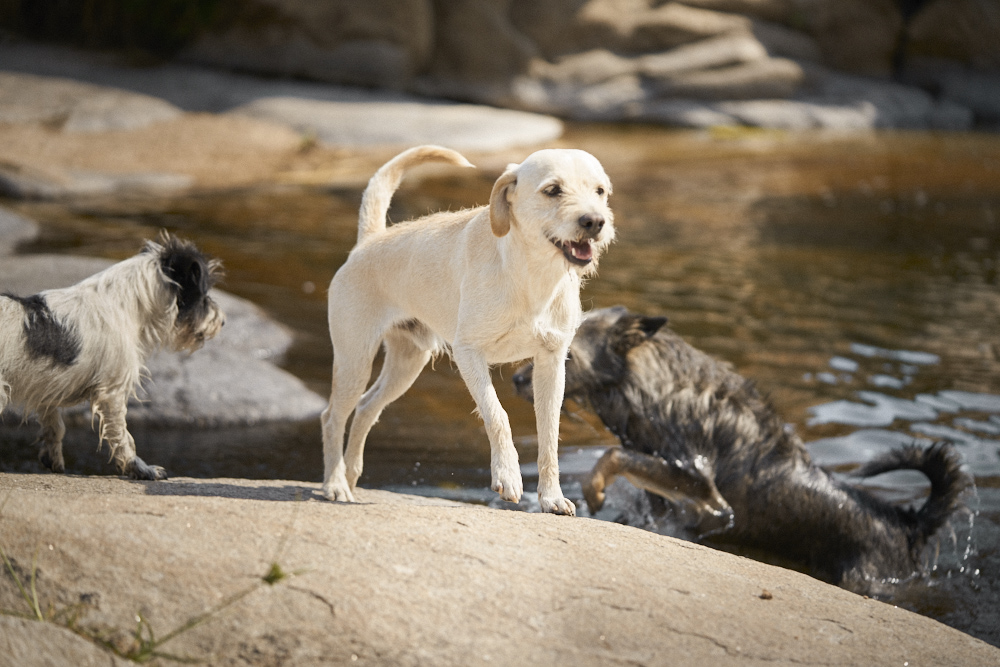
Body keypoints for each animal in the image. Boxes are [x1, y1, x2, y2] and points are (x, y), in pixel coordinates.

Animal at [1, 235, 225, 480]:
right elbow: (122, 436)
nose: (222, 321)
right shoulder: (113, 392)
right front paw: (139, 468)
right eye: (204, 295)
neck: (126, 303)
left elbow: (55, 426)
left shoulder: (48, 387)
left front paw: (54, 460)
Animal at [324, 144, 612, 516]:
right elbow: (497, 414)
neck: (530, 274)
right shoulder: (469, 353)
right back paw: (334, 483)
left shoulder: (551, 363)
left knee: (366, 408)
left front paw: (551, 498)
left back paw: (351, 476)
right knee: (332, 416)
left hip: (407, 364)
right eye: (552, 190)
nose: (595, 222)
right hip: (354, 360)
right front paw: (508, 477)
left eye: (600, 191)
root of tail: (369, 241)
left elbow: (549, 435)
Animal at [516, 306, 968, 592]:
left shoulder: (703, 489)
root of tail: (909, 523)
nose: (518, 380)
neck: (658, 390)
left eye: (568, 352)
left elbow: (612, 456)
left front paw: (593, 491)